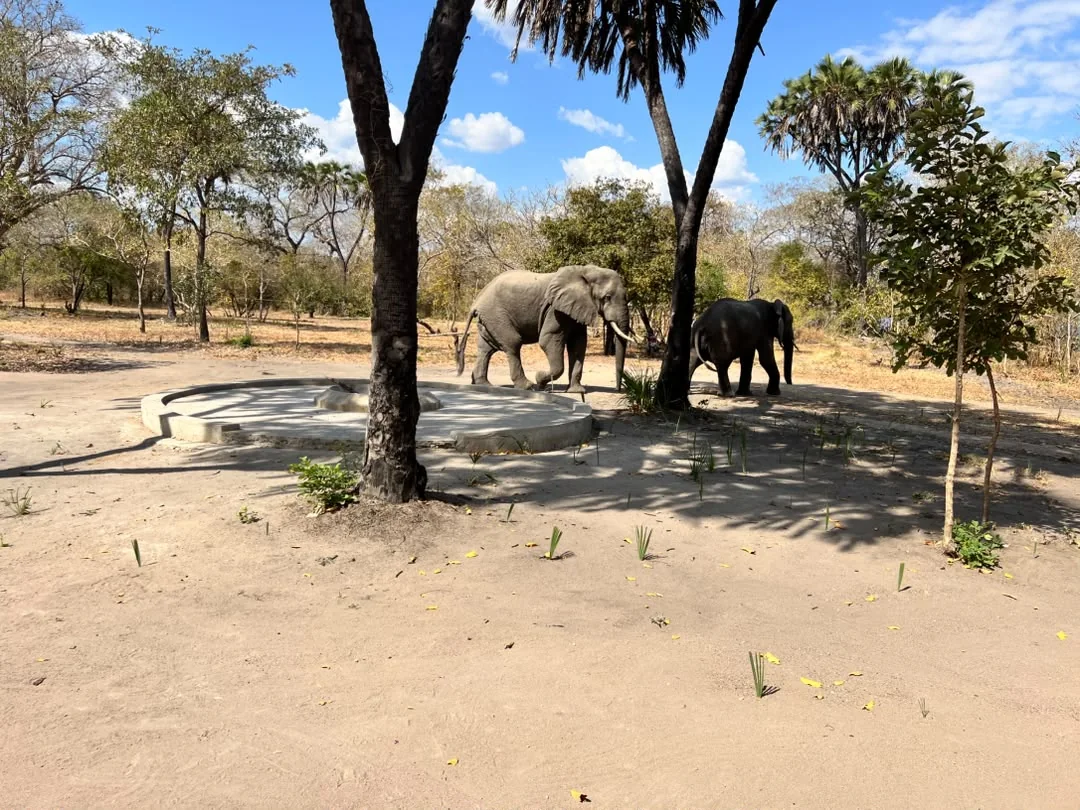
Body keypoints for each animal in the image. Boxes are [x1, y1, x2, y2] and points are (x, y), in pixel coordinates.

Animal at [455, 264, 634, 393]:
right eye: (607, 298)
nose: (619, 390)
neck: (586, 271)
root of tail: (477, 300)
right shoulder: (555, 310)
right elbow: (548, 339)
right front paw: (540, 381)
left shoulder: (575, 309)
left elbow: (578, 344)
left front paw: (576, 391)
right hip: (496, 314)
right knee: (512, 343)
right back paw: (527, 386)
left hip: (489, 319)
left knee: (486, 348)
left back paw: (484, 385)